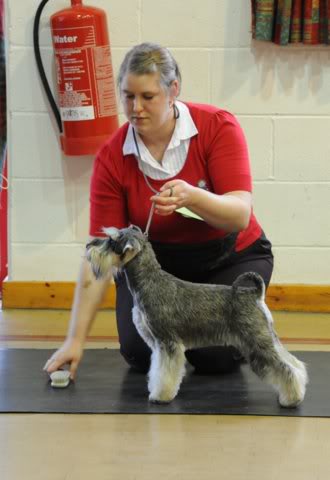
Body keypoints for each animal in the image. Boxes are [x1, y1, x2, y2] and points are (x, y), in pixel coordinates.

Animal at [86, 227, 308, 406]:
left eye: (112, 241)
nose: (89, 245)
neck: (149, 281)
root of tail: (255, 294)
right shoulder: (158, 345)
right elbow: (156, 369)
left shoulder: (168, 343)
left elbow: (165, 373)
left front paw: (160, 396)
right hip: (266, 337)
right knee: (293, 362)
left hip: (256, 342)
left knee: (284, 367)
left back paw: (292, 399)